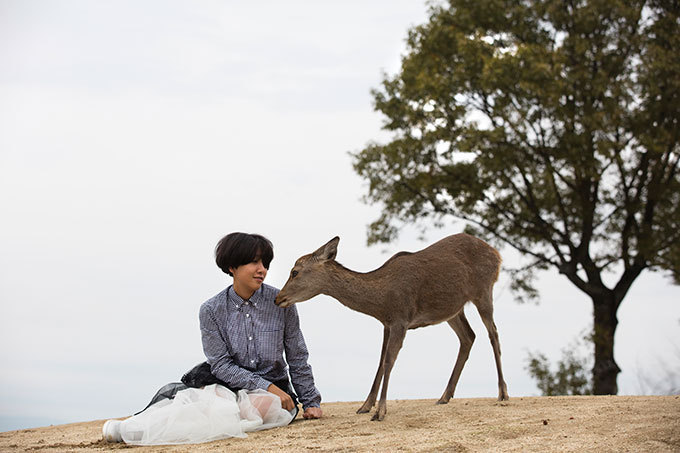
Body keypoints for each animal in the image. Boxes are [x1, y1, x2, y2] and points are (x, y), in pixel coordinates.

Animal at [274, 233, 508, 420]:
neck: (381, 300)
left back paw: (502, 393)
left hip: (483, 290)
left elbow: (389, 361)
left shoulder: (400, 318)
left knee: (493, 333)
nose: (278, 298)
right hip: (452, 309)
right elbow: (380, 361)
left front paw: (380, 411)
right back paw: (444, 396)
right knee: (468, 336)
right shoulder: (386, 323)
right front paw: (365, 406)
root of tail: (497, 254)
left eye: (294, 272)